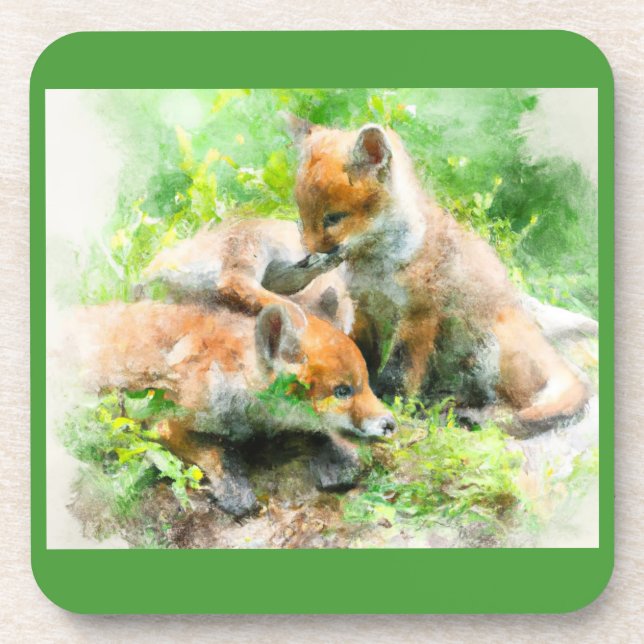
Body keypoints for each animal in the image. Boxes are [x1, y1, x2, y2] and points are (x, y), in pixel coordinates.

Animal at [70, 299, 395, 516]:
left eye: (366, 383)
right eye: (342, 391)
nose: (390, 423)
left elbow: (320, 433)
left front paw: (340, 461)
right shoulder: (165, 425)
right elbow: (219, 453)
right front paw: (235, 492)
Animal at [283, 115, 592, 432]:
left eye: (333, 218)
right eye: (302, 217)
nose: (304, 257)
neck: (377, 268)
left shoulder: (419, 316)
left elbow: (401, 369)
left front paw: (392, 401)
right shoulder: (365, 307)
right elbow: (360, 352)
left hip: (489, 349)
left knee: (514, 402)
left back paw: (479, 414)